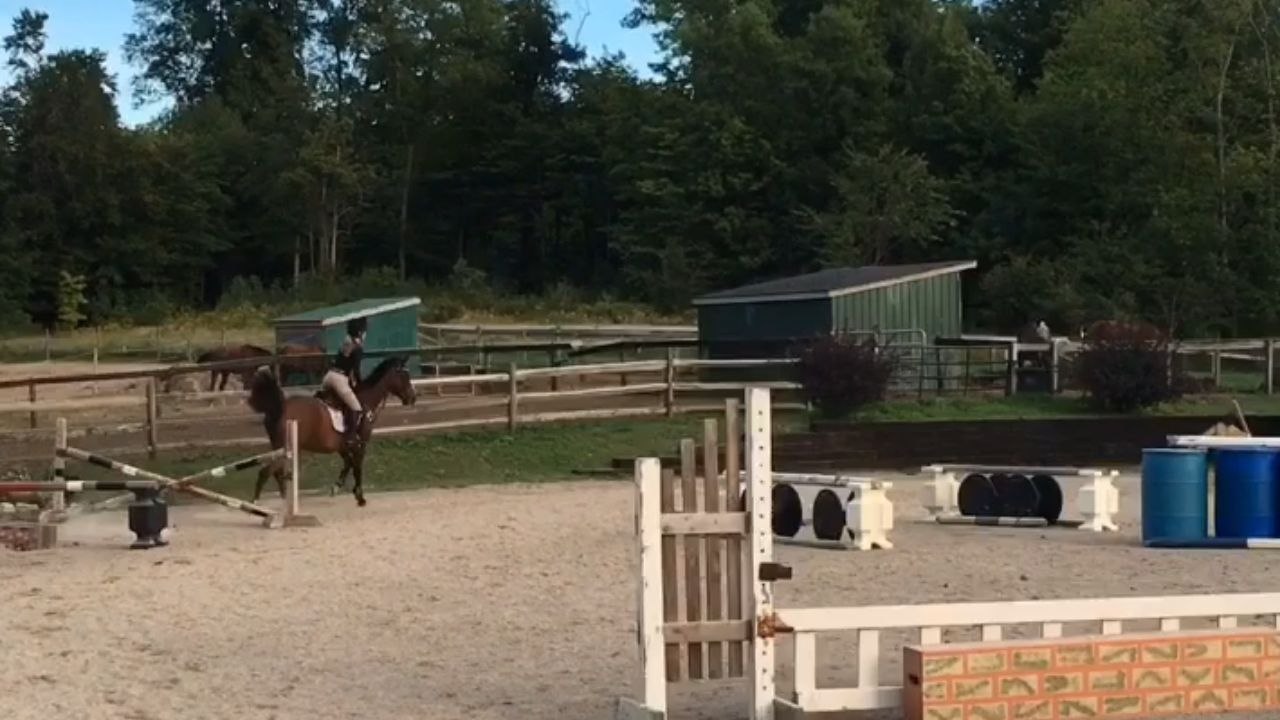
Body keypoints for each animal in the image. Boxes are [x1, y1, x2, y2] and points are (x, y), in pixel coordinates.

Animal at [246, 356, 417, 507]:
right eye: (405, 375)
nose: (413, 398)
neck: (366, 402)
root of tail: (280, 407)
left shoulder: (343, 446)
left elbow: (348, 464)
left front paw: (336, 487)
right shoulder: (360, 445)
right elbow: (357, 468)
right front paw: (360, 497)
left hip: (281, 448)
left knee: (276, 472)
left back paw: (282, 498)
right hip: (288, 448)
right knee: (266, 472)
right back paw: (255, 502)